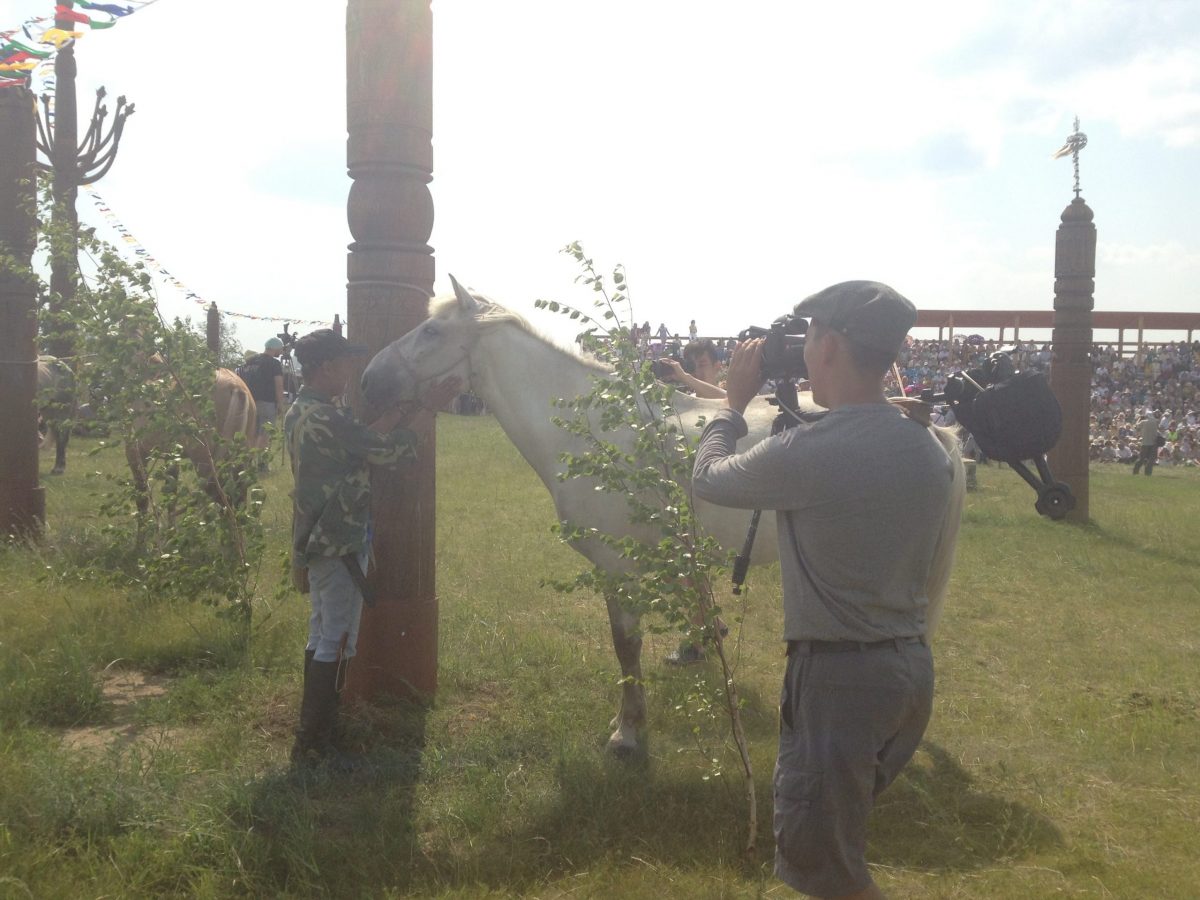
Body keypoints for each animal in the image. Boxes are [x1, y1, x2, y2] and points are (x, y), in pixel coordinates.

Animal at [362, 278, 964, 758]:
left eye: (431, 333)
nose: (369, 380)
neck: (597, 436)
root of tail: (924, 421)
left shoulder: (616, 568)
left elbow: (625, 646)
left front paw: (628, 732)